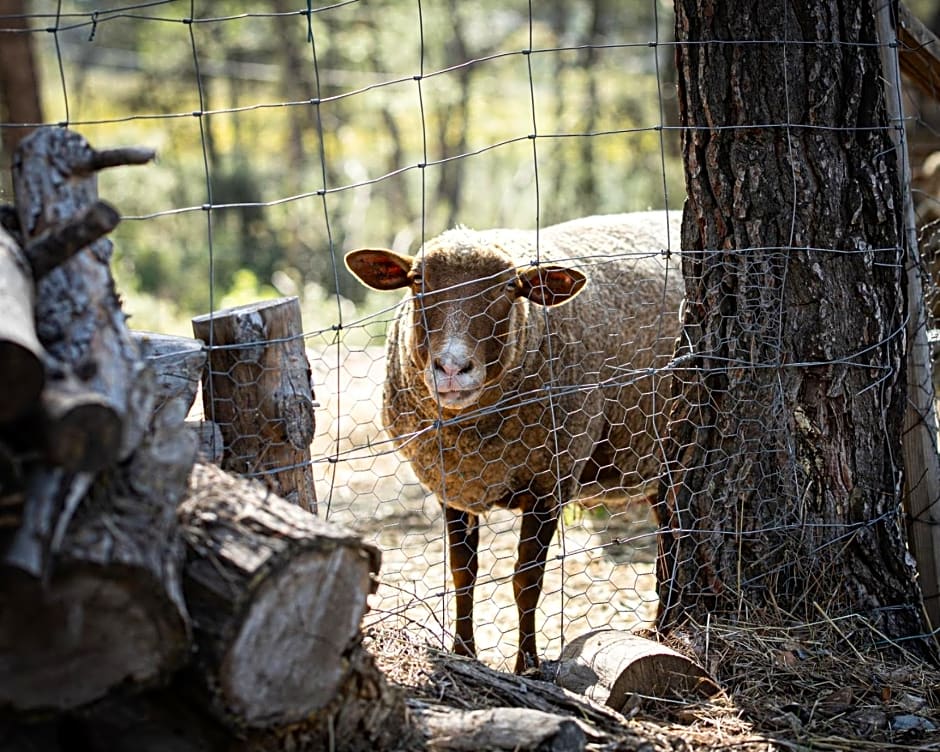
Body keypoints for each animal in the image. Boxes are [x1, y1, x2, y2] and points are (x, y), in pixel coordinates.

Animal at [346, 212, 684, 676]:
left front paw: (527, 664)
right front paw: (463, 651)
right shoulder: (455, 485)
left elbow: (527, 580)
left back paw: (661, 629)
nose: (452, 368)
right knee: (670, 538)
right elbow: (462, 572)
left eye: (509, 289)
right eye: (417, 281)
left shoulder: (551, 480)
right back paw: (660, 628)